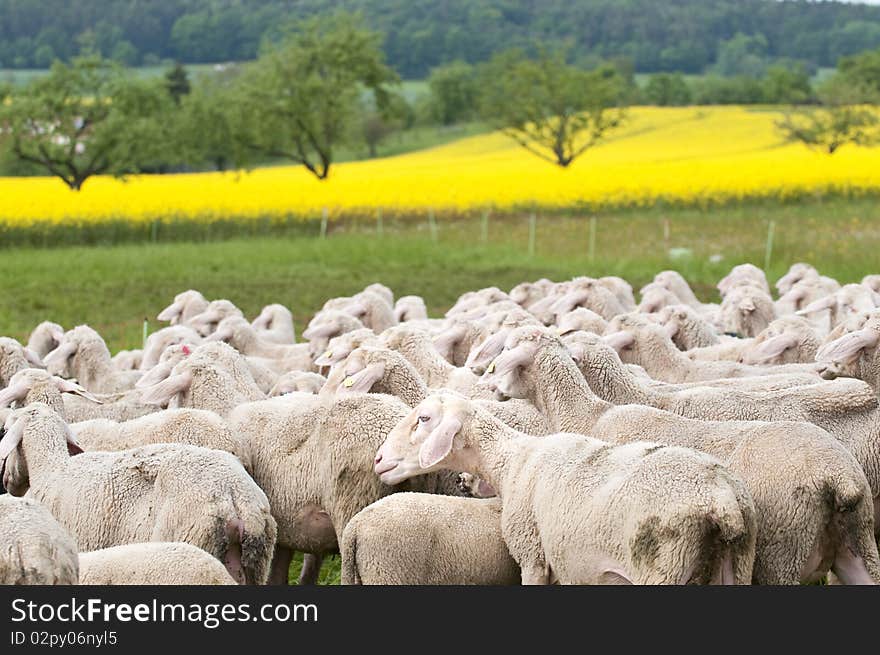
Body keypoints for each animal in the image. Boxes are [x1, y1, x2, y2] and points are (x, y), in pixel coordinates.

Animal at [372, 392, 756, 588]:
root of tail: (722, 498)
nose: (378, 459)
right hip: (736, 563)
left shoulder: (532, 555)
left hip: (664, 563)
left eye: (423, 419)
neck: (512, 461)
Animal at [488, 328, 880, 584]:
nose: (489, 382)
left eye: (510, 352)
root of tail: (839, 475)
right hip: (856, 540)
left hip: (783, 547)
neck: (591, 413)